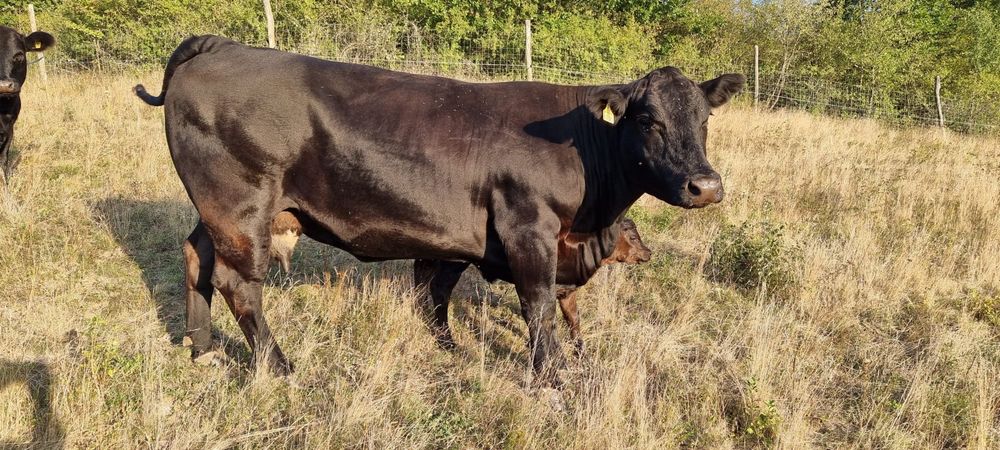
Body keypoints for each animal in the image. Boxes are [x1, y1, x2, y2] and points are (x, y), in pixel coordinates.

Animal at [134, 35, 743, 384]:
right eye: (648, 120)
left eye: (705, 119)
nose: (705, 185)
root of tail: (220, 45)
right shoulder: (529, 230)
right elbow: (539, 306)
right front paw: (552, 375)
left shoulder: (457, 241)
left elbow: (437, 297)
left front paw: (448, 347)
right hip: (242, 208)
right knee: (239, 285)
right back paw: (279, 368)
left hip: (215, 211)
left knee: (196, 258)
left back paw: (202, 349)